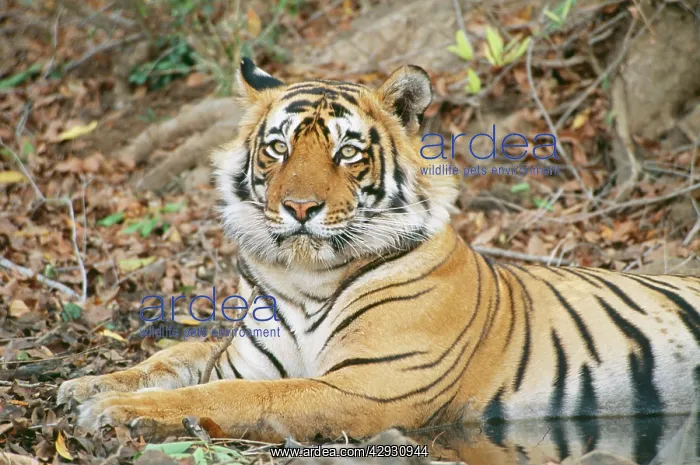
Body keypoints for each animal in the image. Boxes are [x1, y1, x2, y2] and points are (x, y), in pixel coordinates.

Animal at [58, 58, 700, 462]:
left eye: (346, 152)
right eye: (278, 148)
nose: (299, 207)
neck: (305, 276)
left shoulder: (366, 385)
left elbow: (235, 398)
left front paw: (115, 410)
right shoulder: (241, 359)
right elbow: (174, 356)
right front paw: (86, 385)